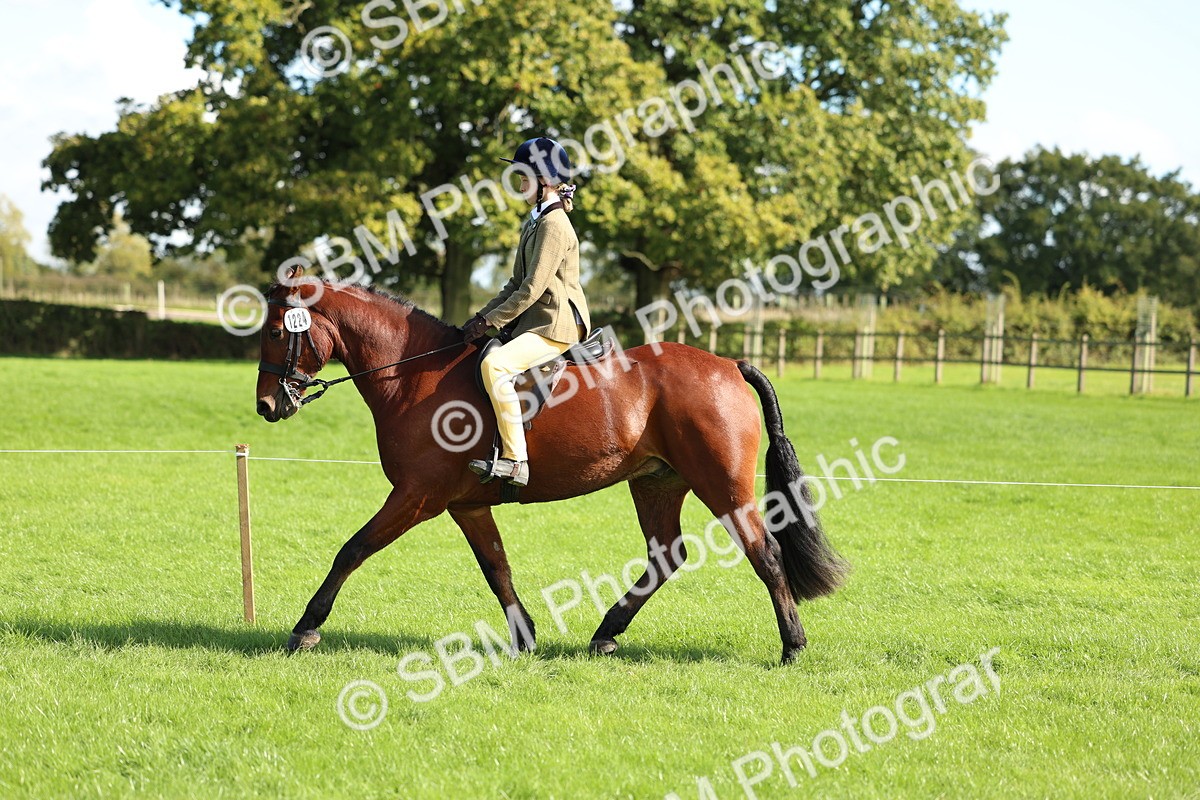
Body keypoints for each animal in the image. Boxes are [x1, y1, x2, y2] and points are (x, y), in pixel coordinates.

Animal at [255, 275, 847, 664]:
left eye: (277, 333)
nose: (266, 406)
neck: (414, 375)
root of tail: (728, 364)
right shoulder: (465, 504)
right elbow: (497, 569)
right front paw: (524, 637)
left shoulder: (417, 496)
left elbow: (352, 549)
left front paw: (306, 629)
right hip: (656, 483)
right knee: (665, 555)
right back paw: (607, 632)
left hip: (722, 485)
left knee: (764, 553)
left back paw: (792, 647)